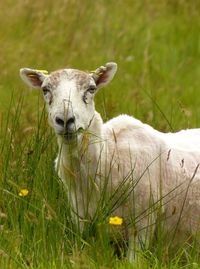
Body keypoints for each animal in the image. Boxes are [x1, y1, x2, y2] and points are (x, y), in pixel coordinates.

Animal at [20, 61, 200, 258]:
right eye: (45, 90)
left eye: (91, 89)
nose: (66, 120)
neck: (107, 156)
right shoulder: (82, 219)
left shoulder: (144, 221)